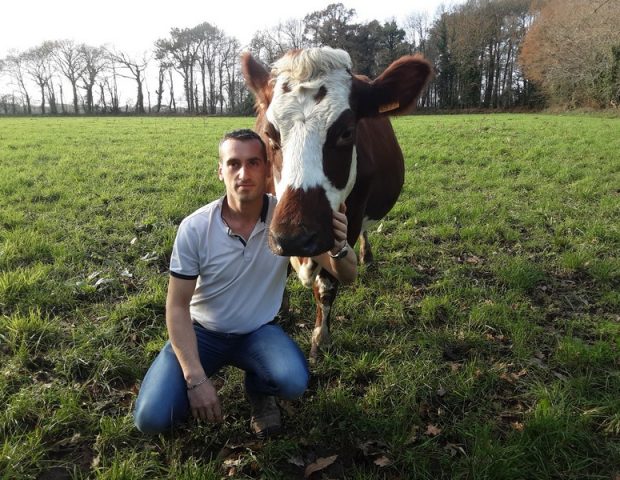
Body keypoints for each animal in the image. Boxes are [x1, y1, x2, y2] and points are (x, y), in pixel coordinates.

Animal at [241, 47, 432, 364]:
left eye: (346, 132)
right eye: (270, 134)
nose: (297, 237)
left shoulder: (348, 220)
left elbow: (327, 285)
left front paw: (321, 340)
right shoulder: (274, 223)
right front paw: (278, 310)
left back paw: (367, 256)